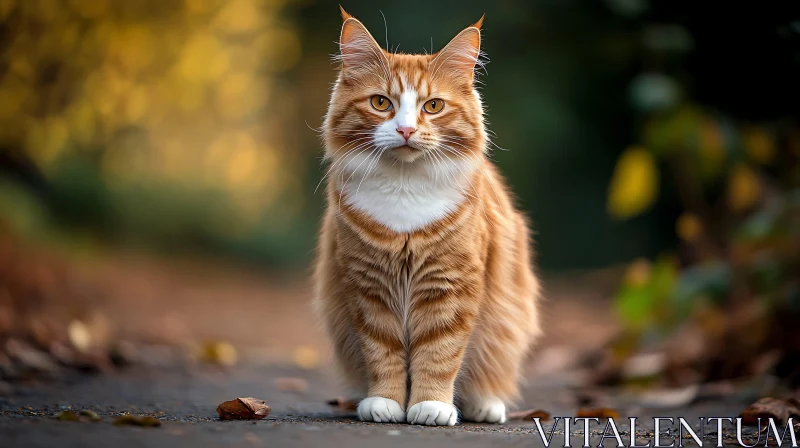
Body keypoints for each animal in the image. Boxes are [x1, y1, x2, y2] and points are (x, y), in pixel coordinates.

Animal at [312, 7, 544, 428]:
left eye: (432, 106)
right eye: (381, 103)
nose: (406, 129)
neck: (404, 191)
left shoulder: (449, 286)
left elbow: (439, 354)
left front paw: (431, 405)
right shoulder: (369, 289)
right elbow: (382, 352)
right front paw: (385, 402)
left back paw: (482, 405)